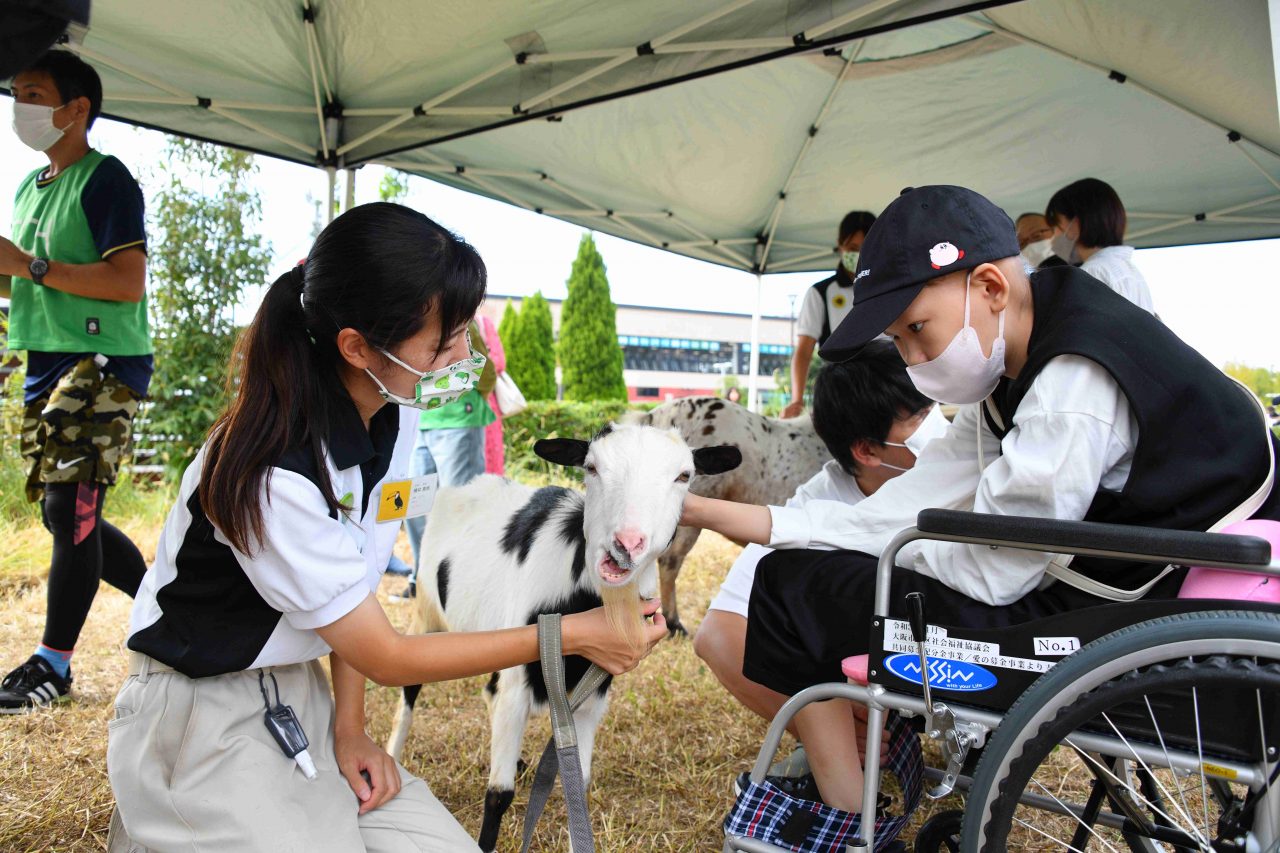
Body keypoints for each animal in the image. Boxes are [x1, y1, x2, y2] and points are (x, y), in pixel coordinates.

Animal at [384, 422, 742, 845]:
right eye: (591, 467)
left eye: (684, 476)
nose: (626, 545)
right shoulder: (519, 686)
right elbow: (498, 795)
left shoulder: (591, 700)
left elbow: (577, 791)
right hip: (427, 611)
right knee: (410, 685)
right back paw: (391, 757)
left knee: (488, 689)